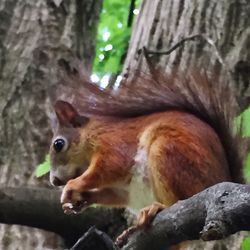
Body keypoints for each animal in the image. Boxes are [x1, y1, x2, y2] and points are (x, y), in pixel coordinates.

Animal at [49, 65, 246, 245]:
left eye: (58, 144)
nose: (55, 181)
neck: (92, 135)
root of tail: (222, 178)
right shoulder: (124, 189)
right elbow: (112, 194)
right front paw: (80, 200)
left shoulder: (114, 145)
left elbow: (109, 166)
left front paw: (72, 186)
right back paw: (131, 231)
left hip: (168, 153)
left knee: (178, 202)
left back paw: (157, 208)